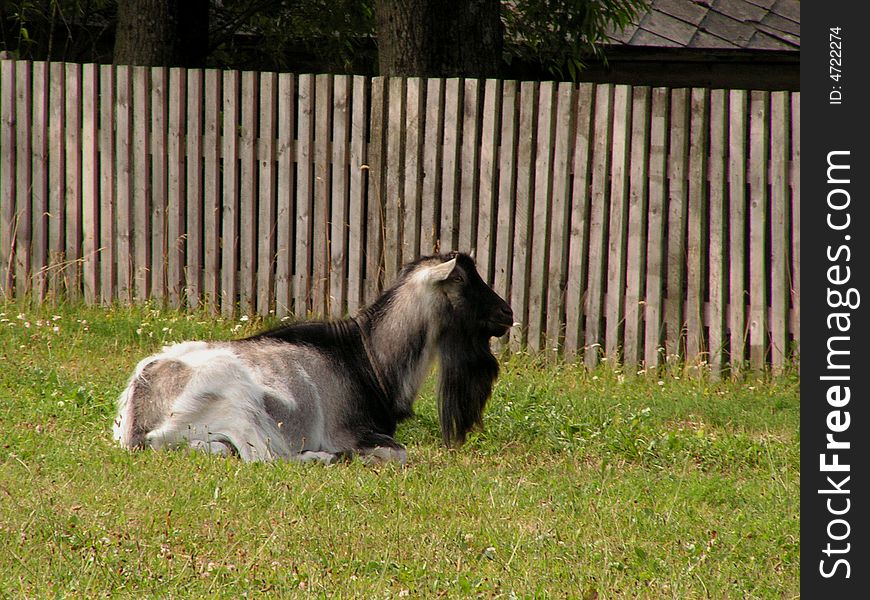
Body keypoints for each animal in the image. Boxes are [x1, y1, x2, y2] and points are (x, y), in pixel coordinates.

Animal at [112, 252, 516, 464]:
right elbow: (398, 453)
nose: (507, 313)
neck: (365, 357)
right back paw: (323, 458)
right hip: (242, 406)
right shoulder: (351, 432)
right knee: (266, 459)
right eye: (462, 280)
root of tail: (139, 419)